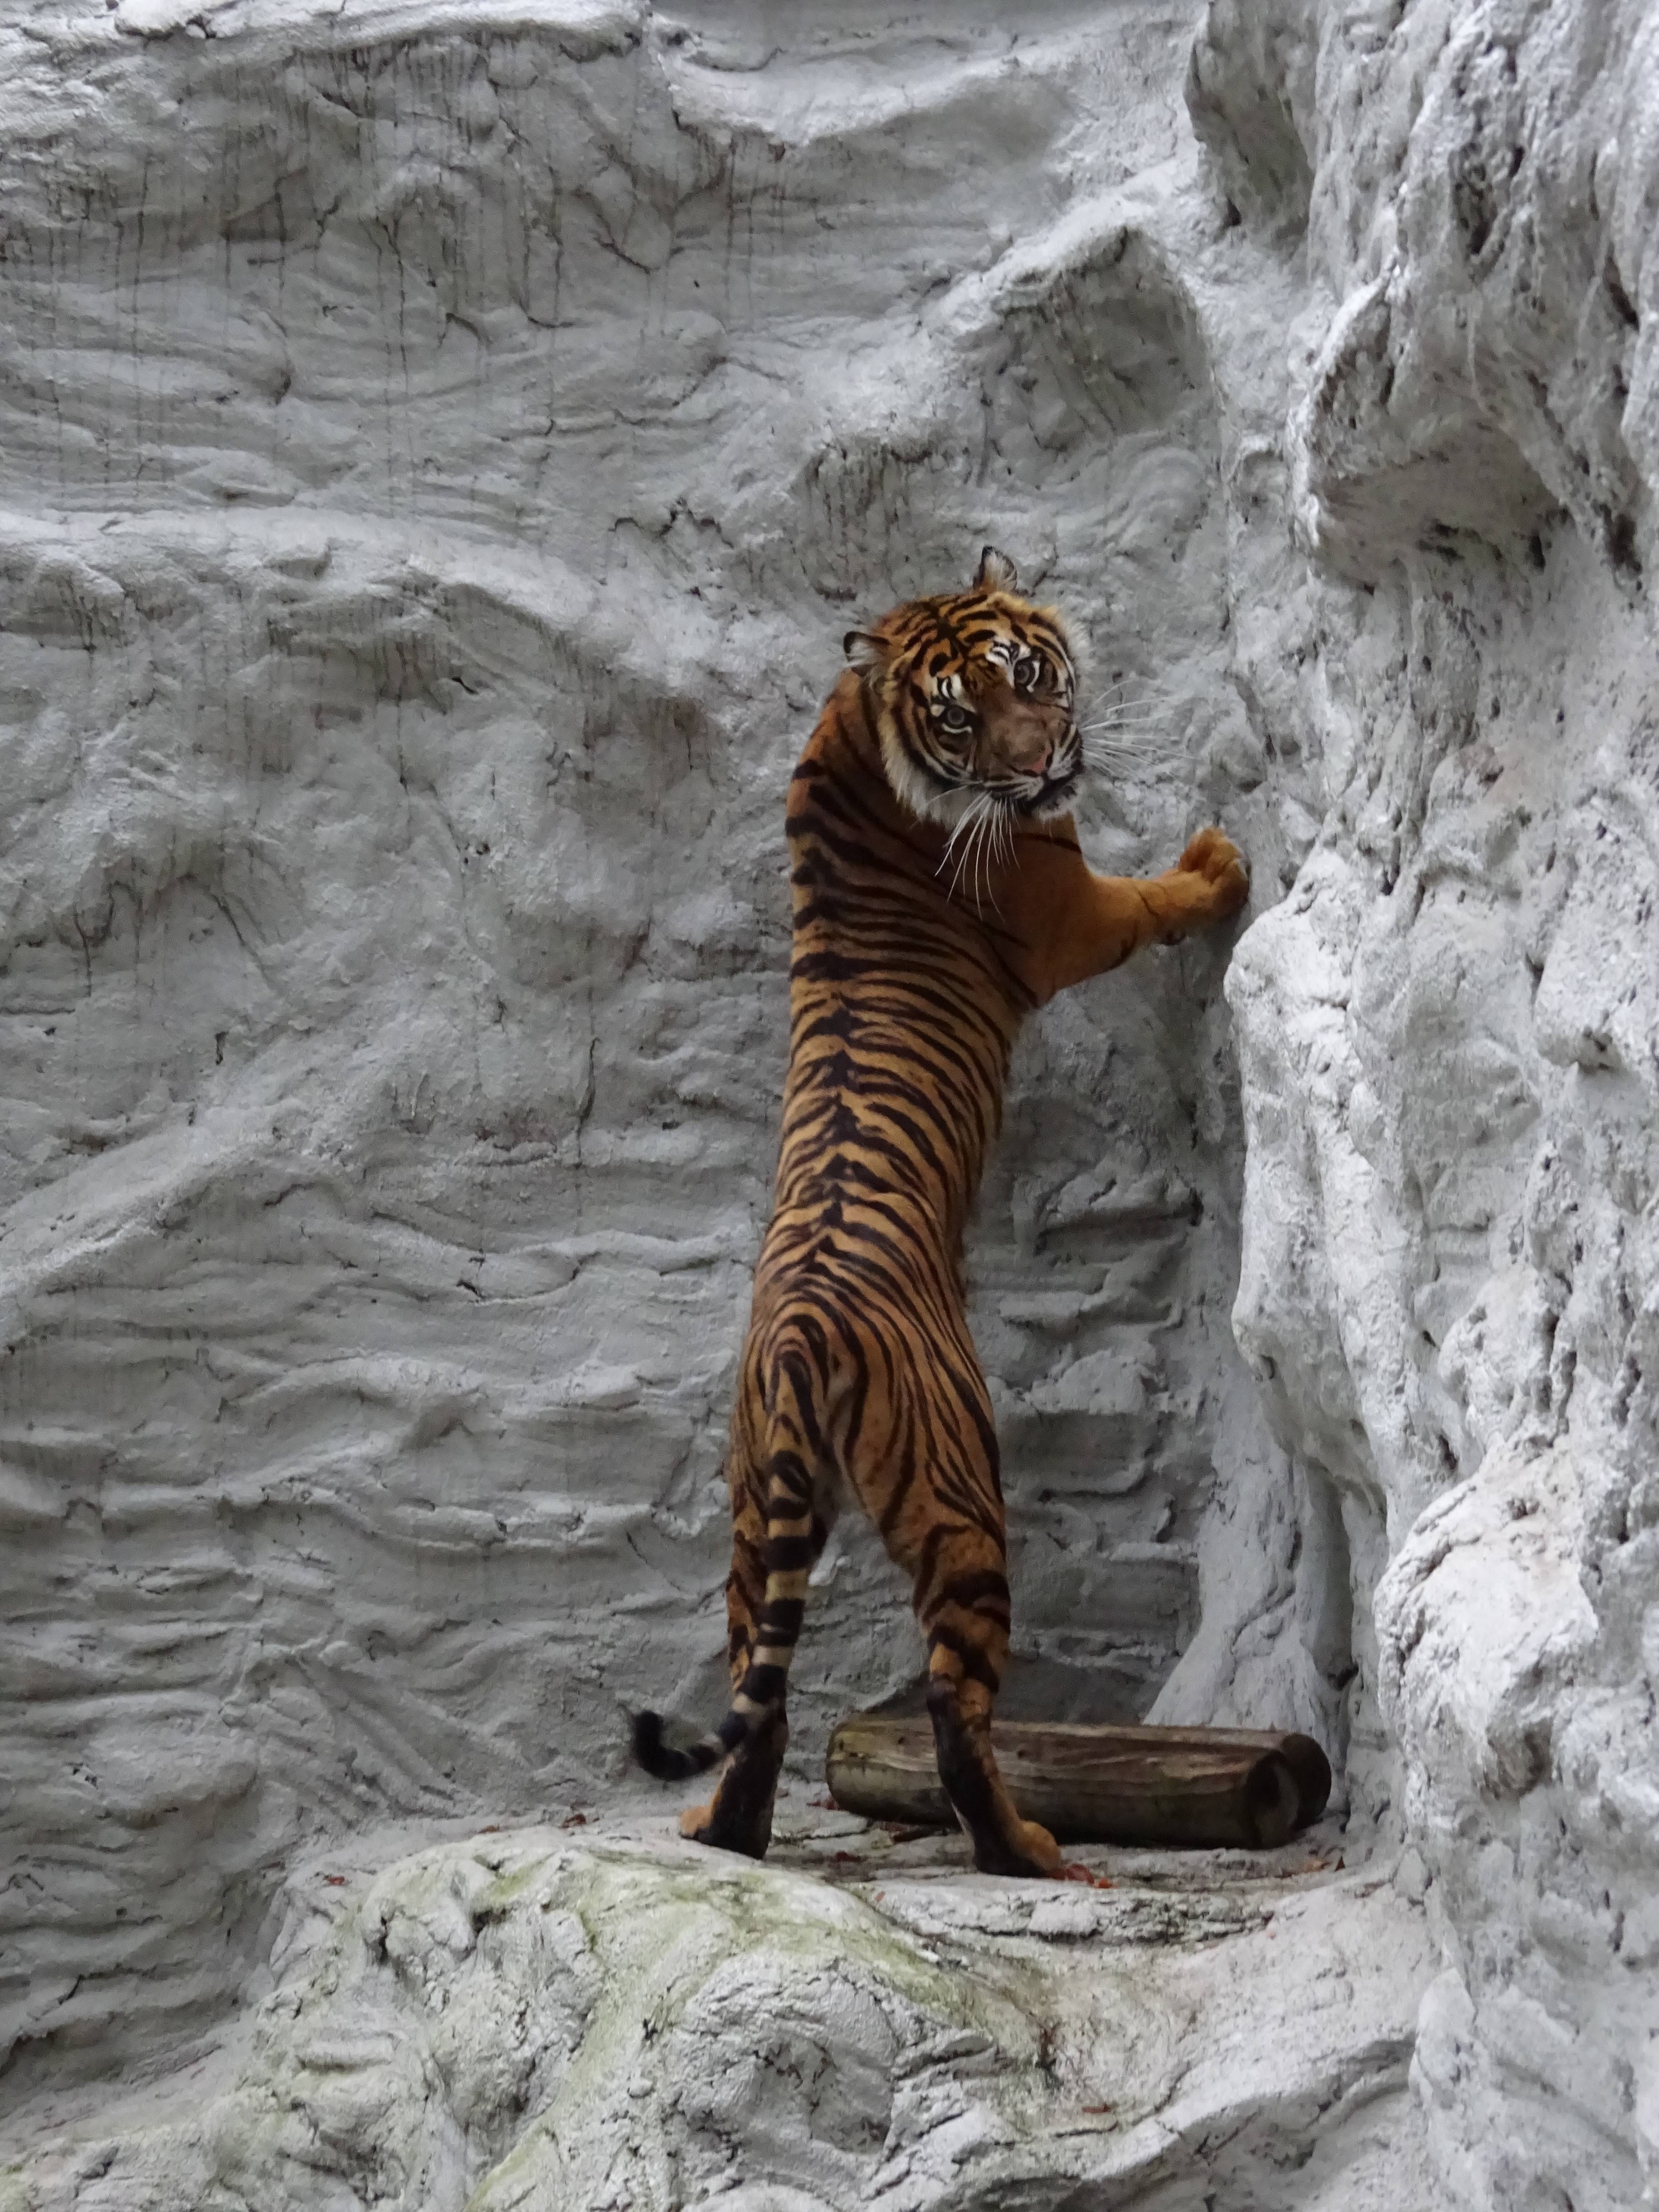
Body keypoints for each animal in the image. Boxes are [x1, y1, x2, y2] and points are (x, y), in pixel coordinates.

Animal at [632, 546, 1249, 1877]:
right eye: (964, 716)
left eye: (1026, 676)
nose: (1042, 761)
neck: (858, 733)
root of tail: (800, 1334)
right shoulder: (1070, 905)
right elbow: (1149, 897)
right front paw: (1218, 859)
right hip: (961, 1499)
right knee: (951, 1703)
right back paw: (1029, 1851)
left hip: (757, 1515)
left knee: (760, 1694)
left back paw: (725, 1835)